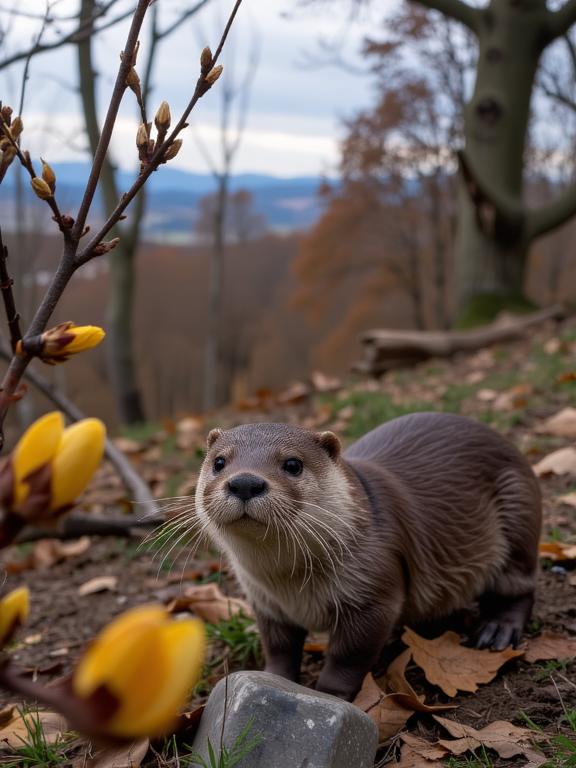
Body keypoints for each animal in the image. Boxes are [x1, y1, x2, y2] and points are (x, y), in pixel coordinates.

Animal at [195, 412, 541, 701]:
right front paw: (271, 678)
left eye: (293, 464)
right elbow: (279, 648)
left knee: (520, 585)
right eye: (219, 462)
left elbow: (348, 656)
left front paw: (330, 693)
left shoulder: (372, 596)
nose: (245, 482)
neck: (291, 586)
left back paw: (496, 629)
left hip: (519, 515)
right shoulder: (265, 603)